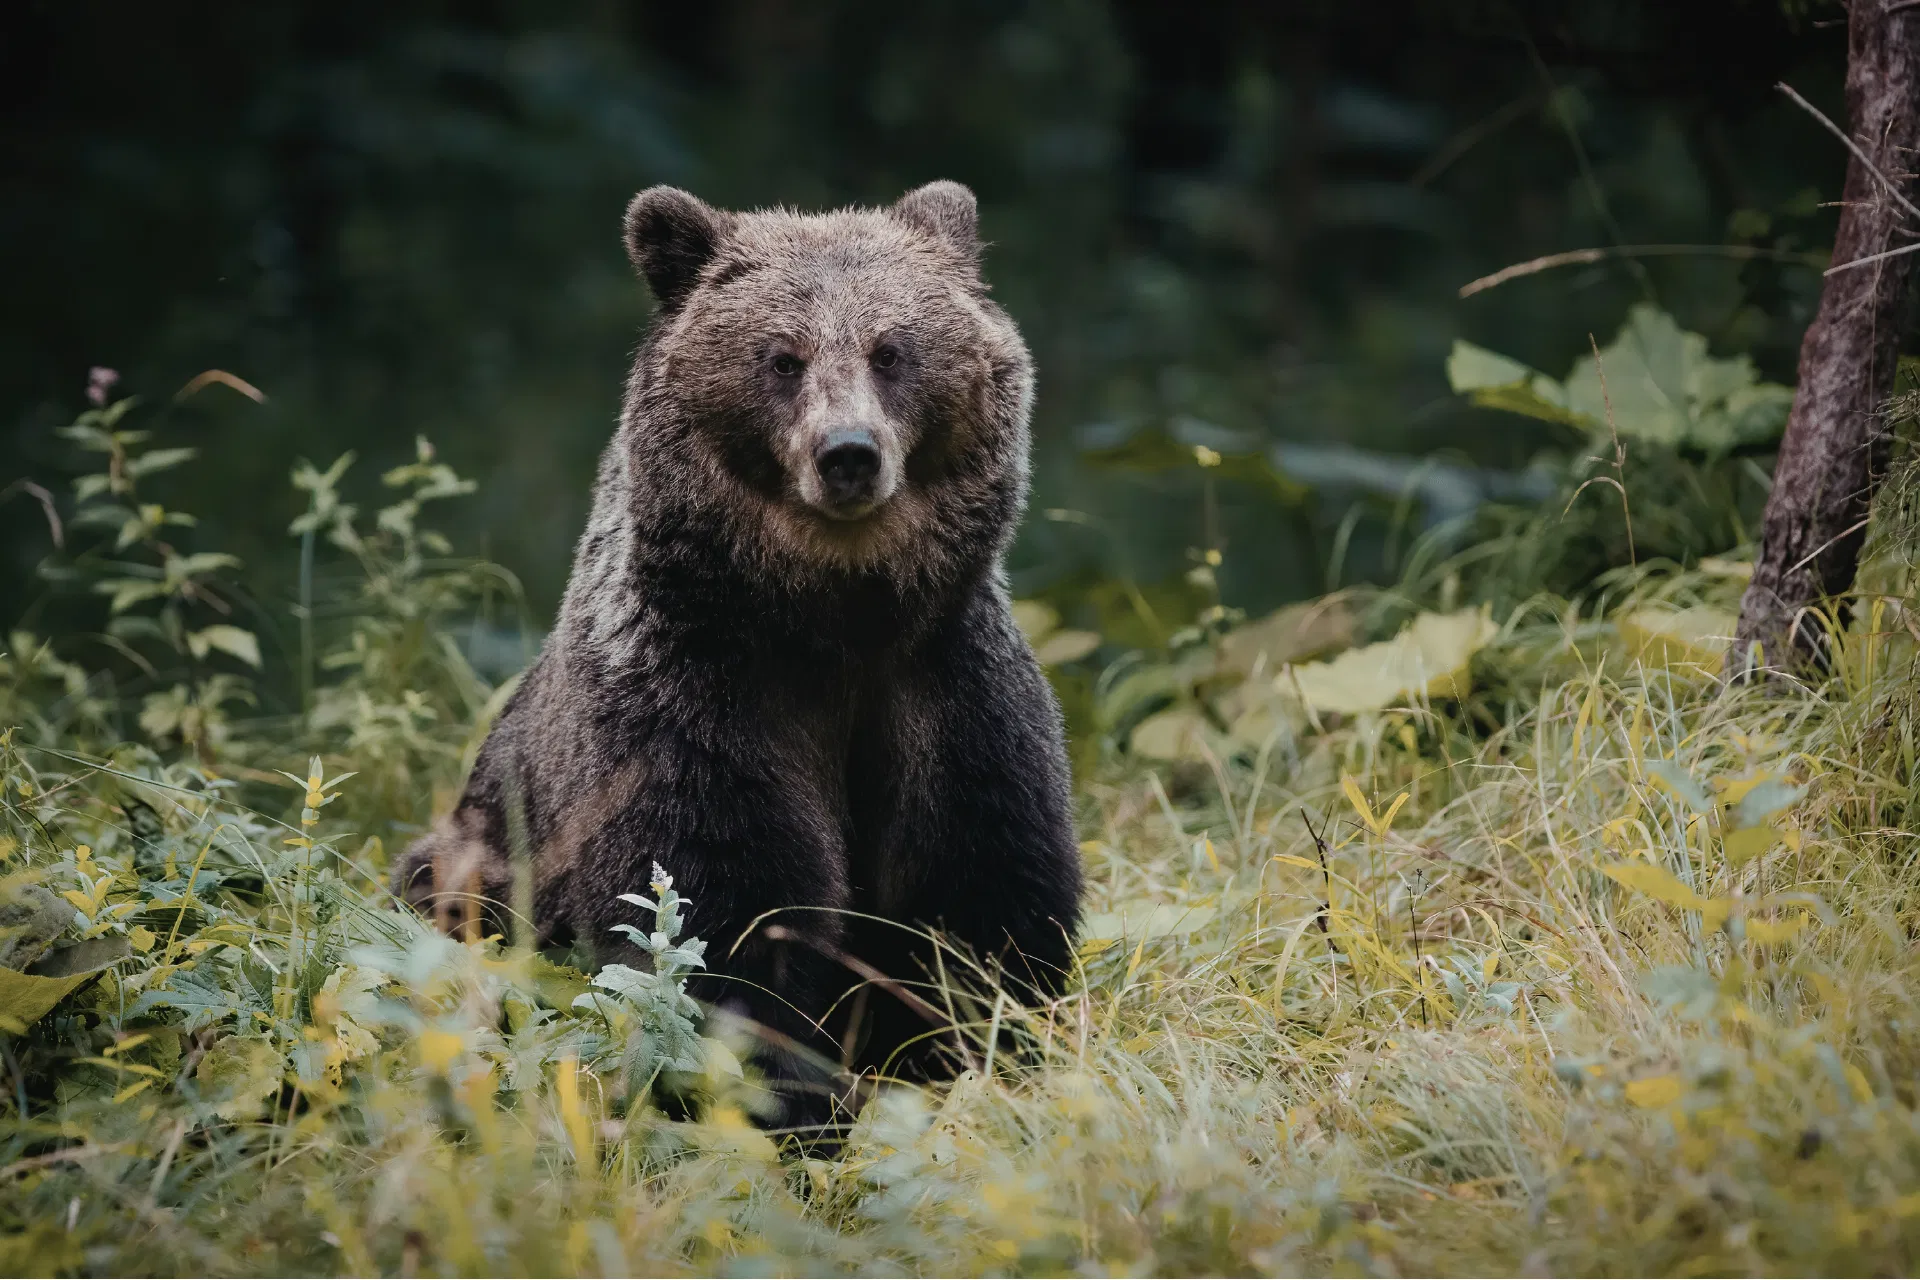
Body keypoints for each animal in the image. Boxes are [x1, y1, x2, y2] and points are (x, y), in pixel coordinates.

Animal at [394, 180, 1083, 1139]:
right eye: (782, 357)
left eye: (891, 350)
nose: (848, 454)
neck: (831, 623)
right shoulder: (692, 703)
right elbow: (717, 911)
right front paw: (794, 1102)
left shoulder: (947, 687)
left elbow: (981, 897)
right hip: (478, 860)